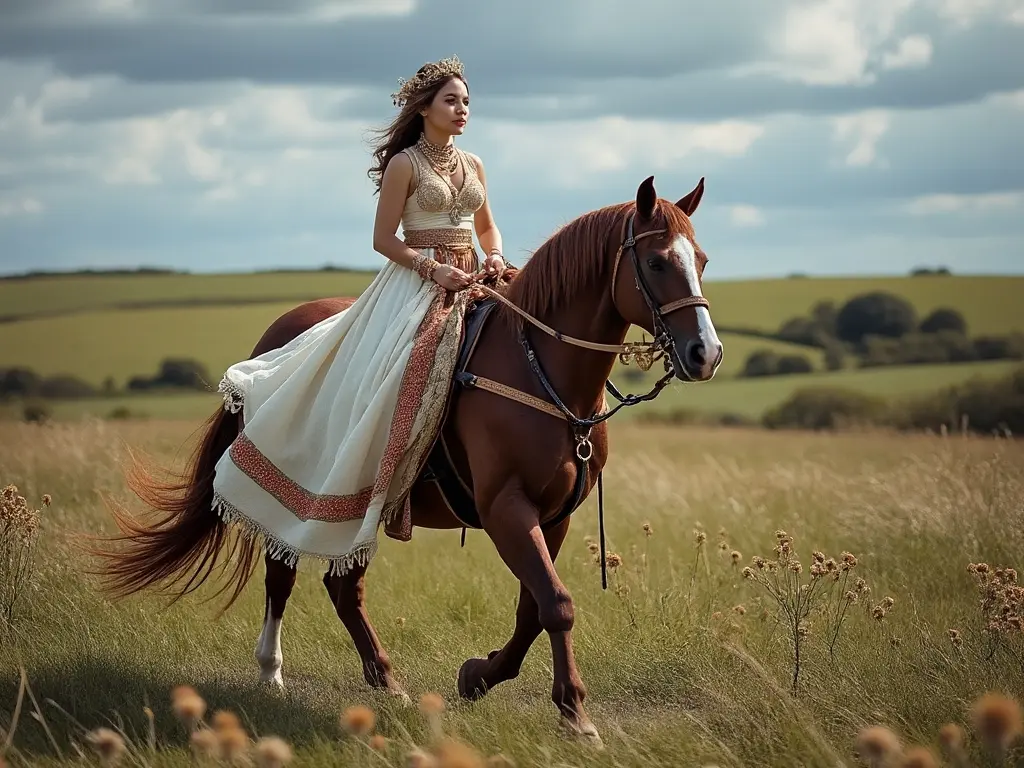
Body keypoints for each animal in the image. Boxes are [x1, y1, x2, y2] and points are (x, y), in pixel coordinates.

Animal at [94, 176, 720, 745]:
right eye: (658, 262)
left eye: (703, 260)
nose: (705, 354)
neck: (539, 369)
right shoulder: (506, 510)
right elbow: (557, 604)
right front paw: (574, 713)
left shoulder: (554, 515)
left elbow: (534, 607)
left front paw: (478, 677)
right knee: (283, 572)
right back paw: (272, 672)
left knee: (343, 586)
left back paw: (385, 679)